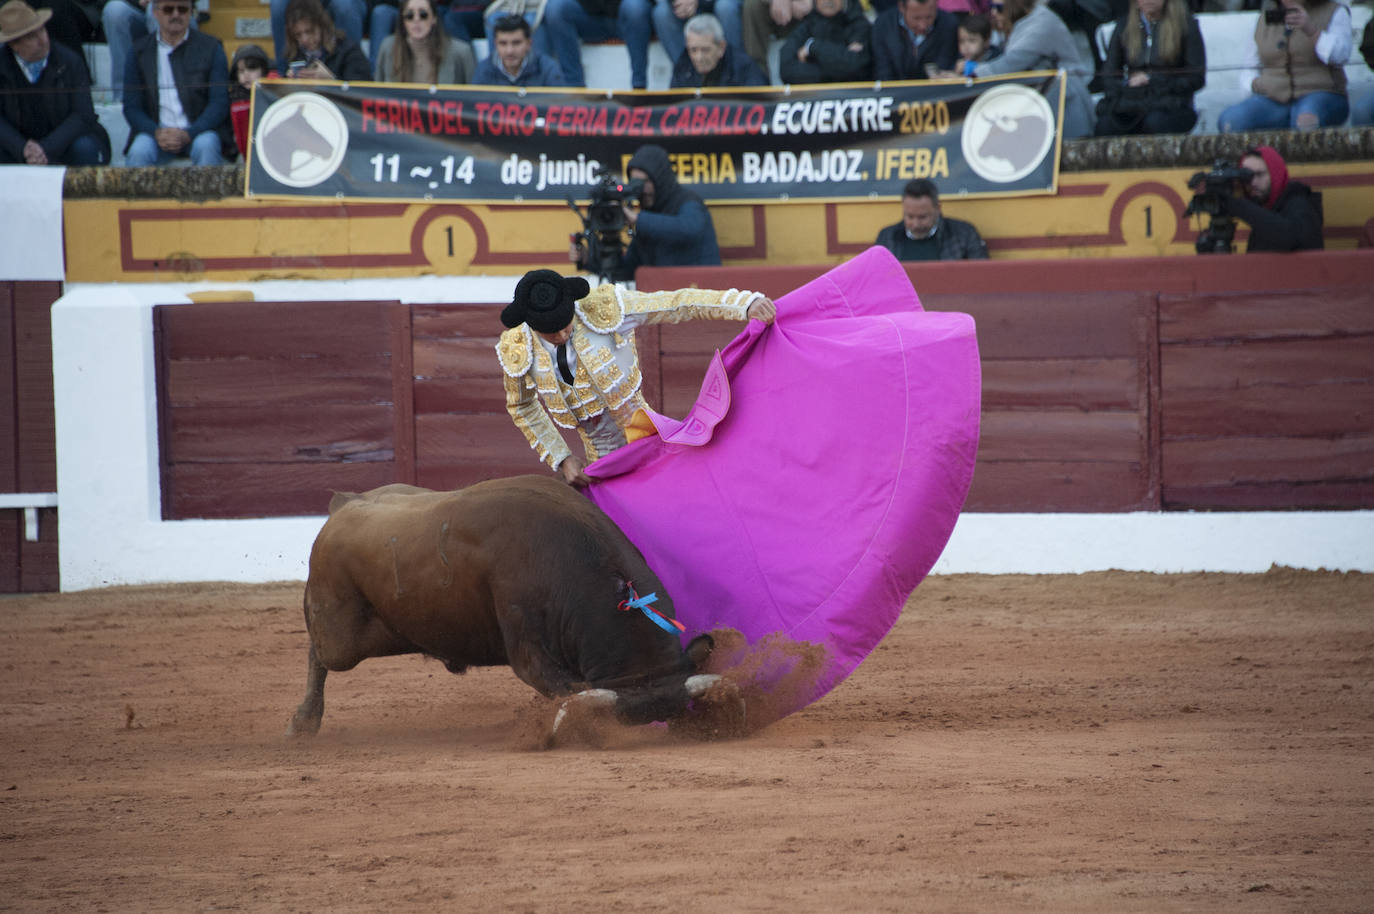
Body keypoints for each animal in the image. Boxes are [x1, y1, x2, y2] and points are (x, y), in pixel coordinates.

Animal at [287, 478, 741, 742]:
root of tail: (342, 507)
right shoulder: (526, 643)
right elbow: (558, 685)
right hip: (341, 636)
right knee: (319, 652)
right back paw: (303, 721)